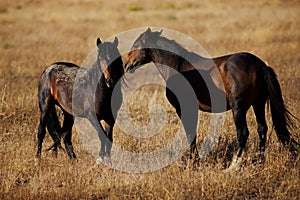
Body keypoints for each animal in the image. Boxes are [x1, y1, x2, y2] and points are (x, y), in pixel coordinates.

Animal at [124, 28, 298, 168]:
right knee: (262, 129)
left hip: (238, 109)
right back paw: (258, 162)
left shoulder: (185, 109)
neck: (178, 67)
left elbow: (190, 135)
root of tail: (260, 65)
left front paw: (193, 162)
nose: (126, 65)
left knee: (243, 133)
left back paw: (234, 166)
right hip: (258, 104)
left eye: (136, 45)